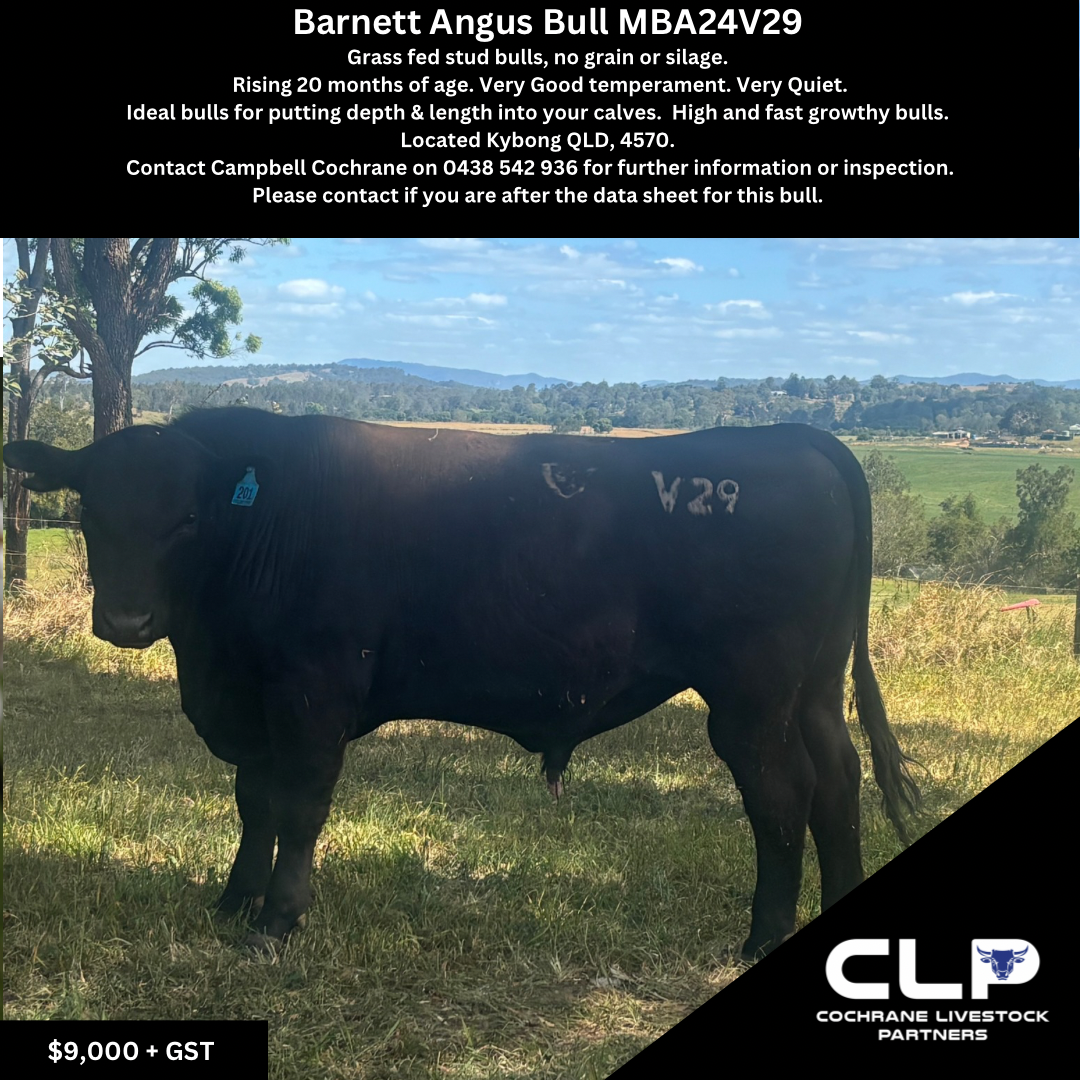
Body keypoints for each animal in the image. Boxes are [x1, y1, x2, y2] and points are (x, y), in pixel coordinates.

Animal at [5, 408, 919, 960]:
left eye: (188, 518)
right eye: (89, 511)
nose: (125, 621)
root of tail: (793, 435)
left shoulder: (309, 693)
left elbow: (297, 805)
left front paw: (277, 920)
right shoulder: (254, 699)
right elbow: (254, 803)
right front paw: (235, 900)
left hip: (750, 697)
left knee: (783, 794)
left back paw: (760, 937)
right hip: (813, 687)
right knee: (837, 780)